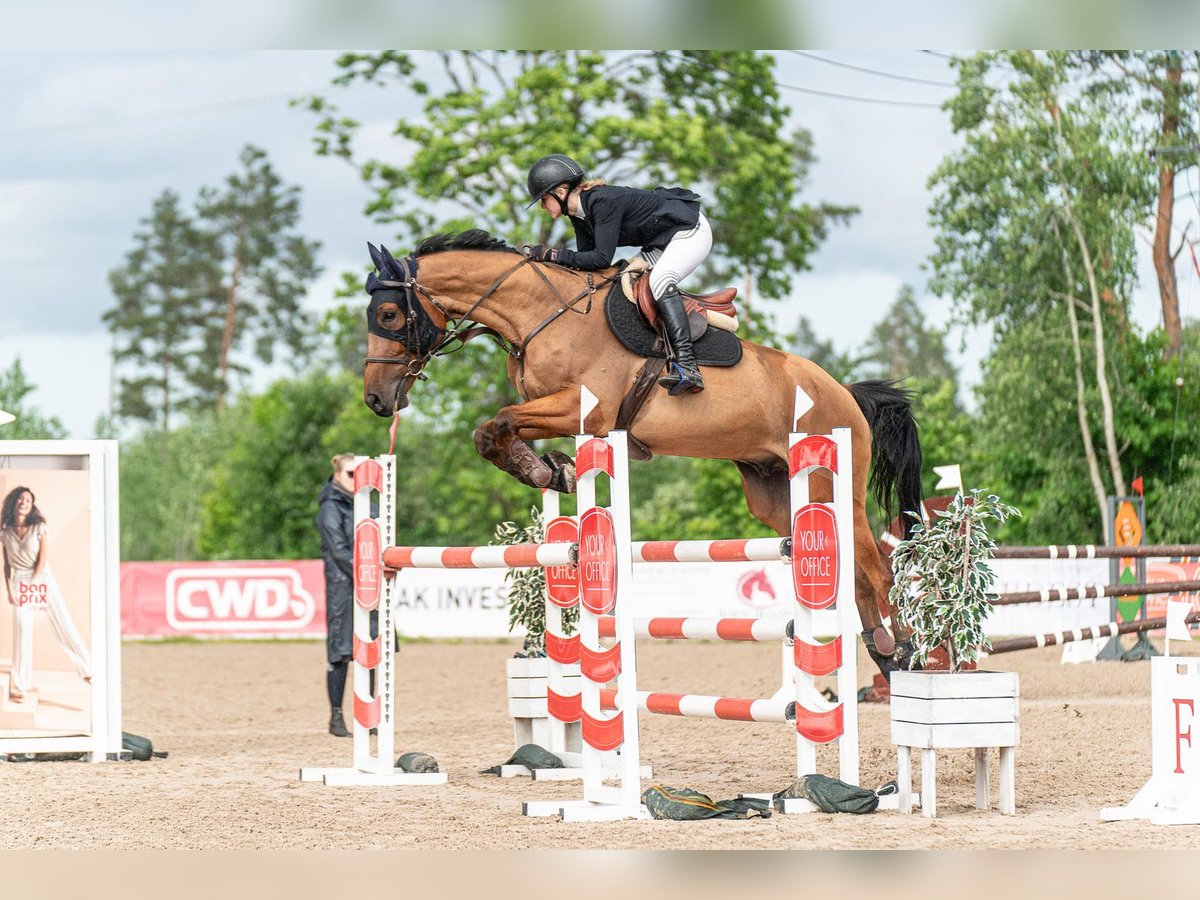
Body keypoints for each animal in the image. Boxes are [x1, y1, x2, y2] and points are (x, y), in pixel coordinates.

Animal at [360, 232, 921, 676]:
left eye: (388, 313)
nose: (376, 400)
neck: (540, 316)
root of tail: (843, 391)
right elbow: (492, 433)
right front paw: (552, 471)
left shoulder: (585, 409)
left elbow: (497, 423)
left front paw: (544, 470)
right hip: (776, 494)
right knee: (850, 571)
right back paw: (881, 653)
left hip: (831, 484)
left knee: (877, 570)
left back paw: (903, 649)